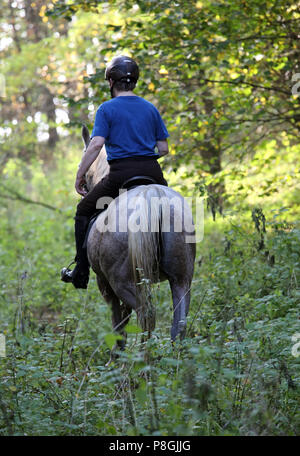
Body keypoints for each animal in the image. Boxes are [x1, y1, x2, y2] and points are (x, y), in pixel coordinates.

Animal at [81, 124, 196, 352]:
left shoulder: (105, 284)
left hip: (122, 283)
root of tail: (151, 194)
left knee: (146, 315)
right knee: (179, 321)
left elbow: (119, 325)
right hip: (181, 278)